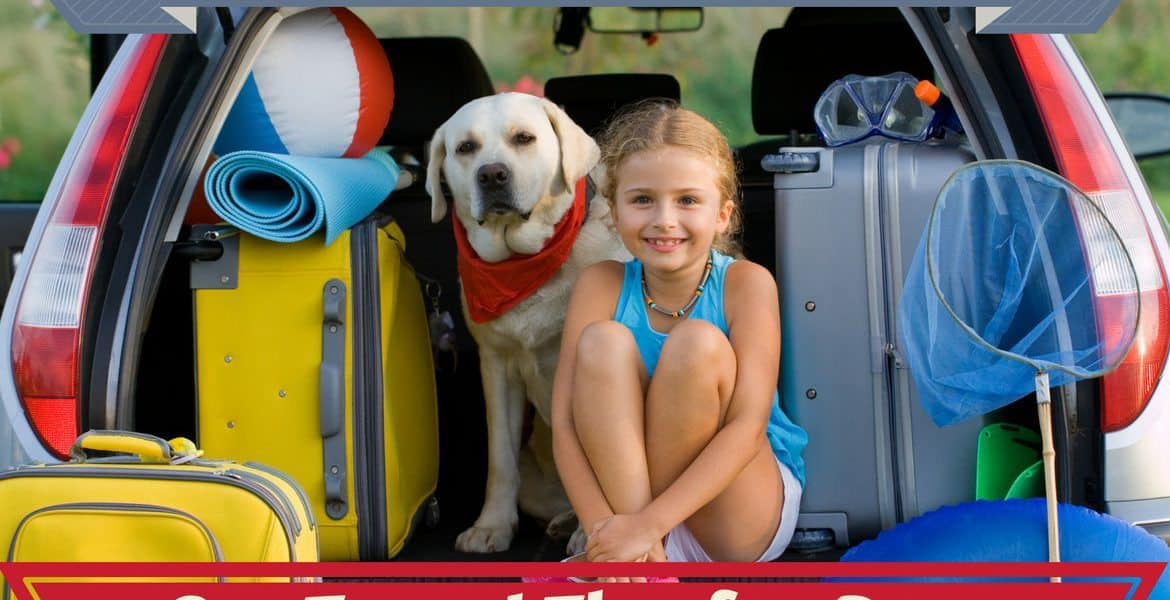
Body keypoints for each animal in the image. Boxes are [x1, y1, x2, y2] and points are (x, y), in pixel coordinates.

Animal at [428, 92, 631, 552]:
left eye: (524, 138)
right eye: (465, 148)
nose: (492, 174)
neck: (525, 264)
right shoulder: (497, 365)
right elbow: (500, 460)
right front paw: (491, 526)